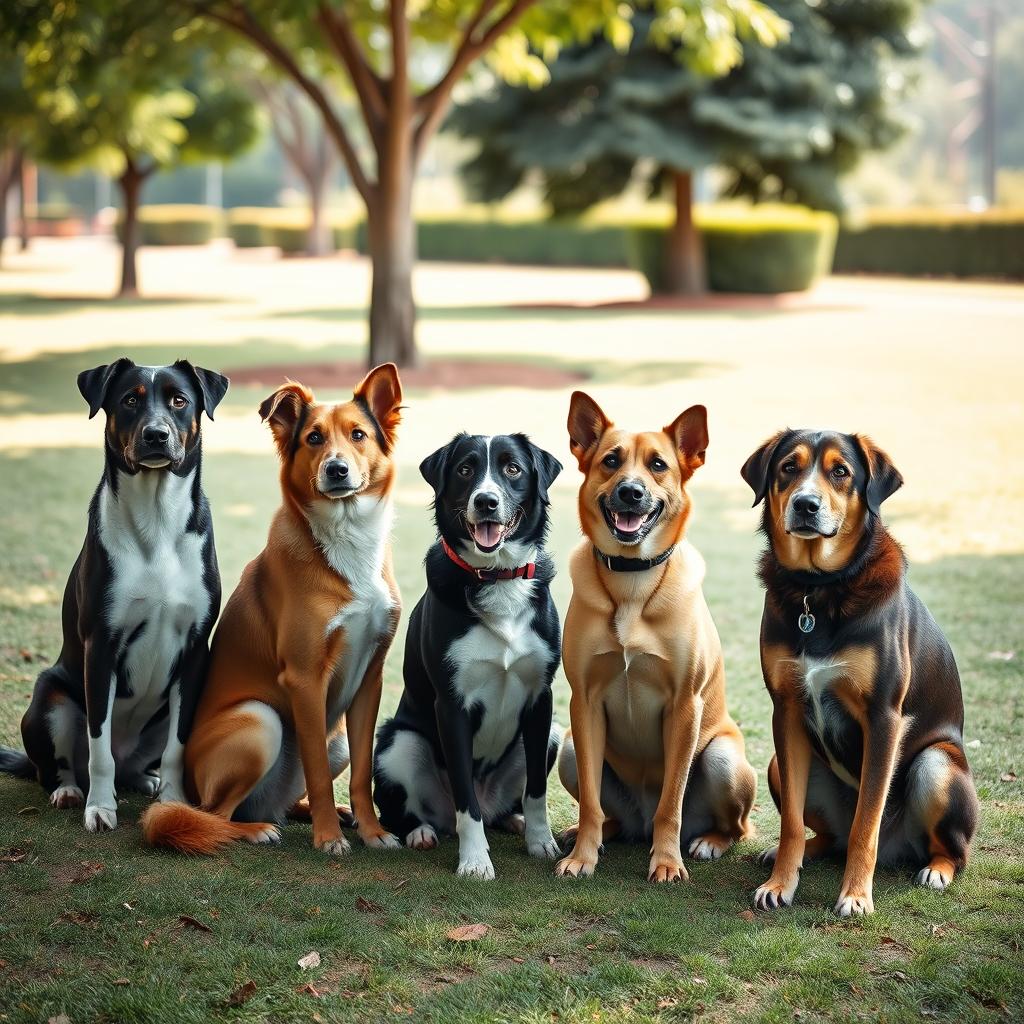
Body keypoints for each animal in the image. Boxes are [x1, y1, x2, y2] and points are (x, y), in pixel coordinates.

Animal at [0, 360, 228, 831]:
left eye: (180, 400)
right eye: (129, 400)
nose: (156, 434)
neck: (157, 520)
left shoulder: (196, 649)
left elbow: (178, 747)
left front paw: (175, 801)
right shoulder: (101, 646)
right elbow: (99, 745)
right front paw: (100, 808)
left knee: (136, 764)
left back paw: (147, 780)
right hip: (52, 696)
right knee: (65, 764)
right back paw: (70, 790)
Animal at [141, 368, 403, 856]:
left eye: (358, 435)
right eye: (314, 438)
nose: (336, 469)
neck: (346, 539)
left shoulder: (370, 679)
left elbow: (362, 773)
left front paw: (373, 830)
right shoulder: (305, 678)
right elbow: (317, 773)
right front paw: (329, 838)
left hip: (336, 739)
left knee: (287, 799)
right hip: (260, 721)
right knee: (216, 814)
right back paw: (256, 829)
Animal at [376, 432, 565, 880]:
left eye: (512, 468)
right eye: (465, 469)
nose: (487, 501)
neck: (496, 577)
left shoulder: (542, 699)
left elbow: (537, 790)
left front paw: (540, 841)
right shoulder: (452, 705)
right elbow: (466, 799)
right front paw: (475, 860)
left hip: (553, 734)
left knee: (503, 805)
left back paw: (512, 821)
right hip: (398, 741)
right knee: (410, 810)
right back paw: (420, 832)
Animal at [557, 391, 757, 880]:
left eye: (659, 465)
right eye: (611, 461)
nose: (631, 491)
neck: (632, 580)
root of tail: (639, 823)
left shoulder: (685, 706)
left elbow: (672, 803)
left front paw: (667, 862)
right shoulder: (583, 704)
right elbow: (590, 803)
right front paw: (583, 857)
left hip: (723, 758)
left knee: (734, 826)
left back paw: (708, 842)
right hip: (568, 747)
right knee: (606, 812)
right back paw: (599, 834)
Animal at [741, 428, 978, 917]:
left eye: (841, 472)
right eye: (788, 468)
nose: (805, 505)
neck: (818, 591)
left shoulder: (883, 717)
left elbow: (865, 823)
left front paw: (854, 896)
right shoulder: (785, 710)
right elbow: (791, 823)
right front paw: (780, 884)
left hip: (936, 763)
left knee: (952, 849)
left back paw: (937, 870)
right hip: (776, 764)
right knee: (827, 836)